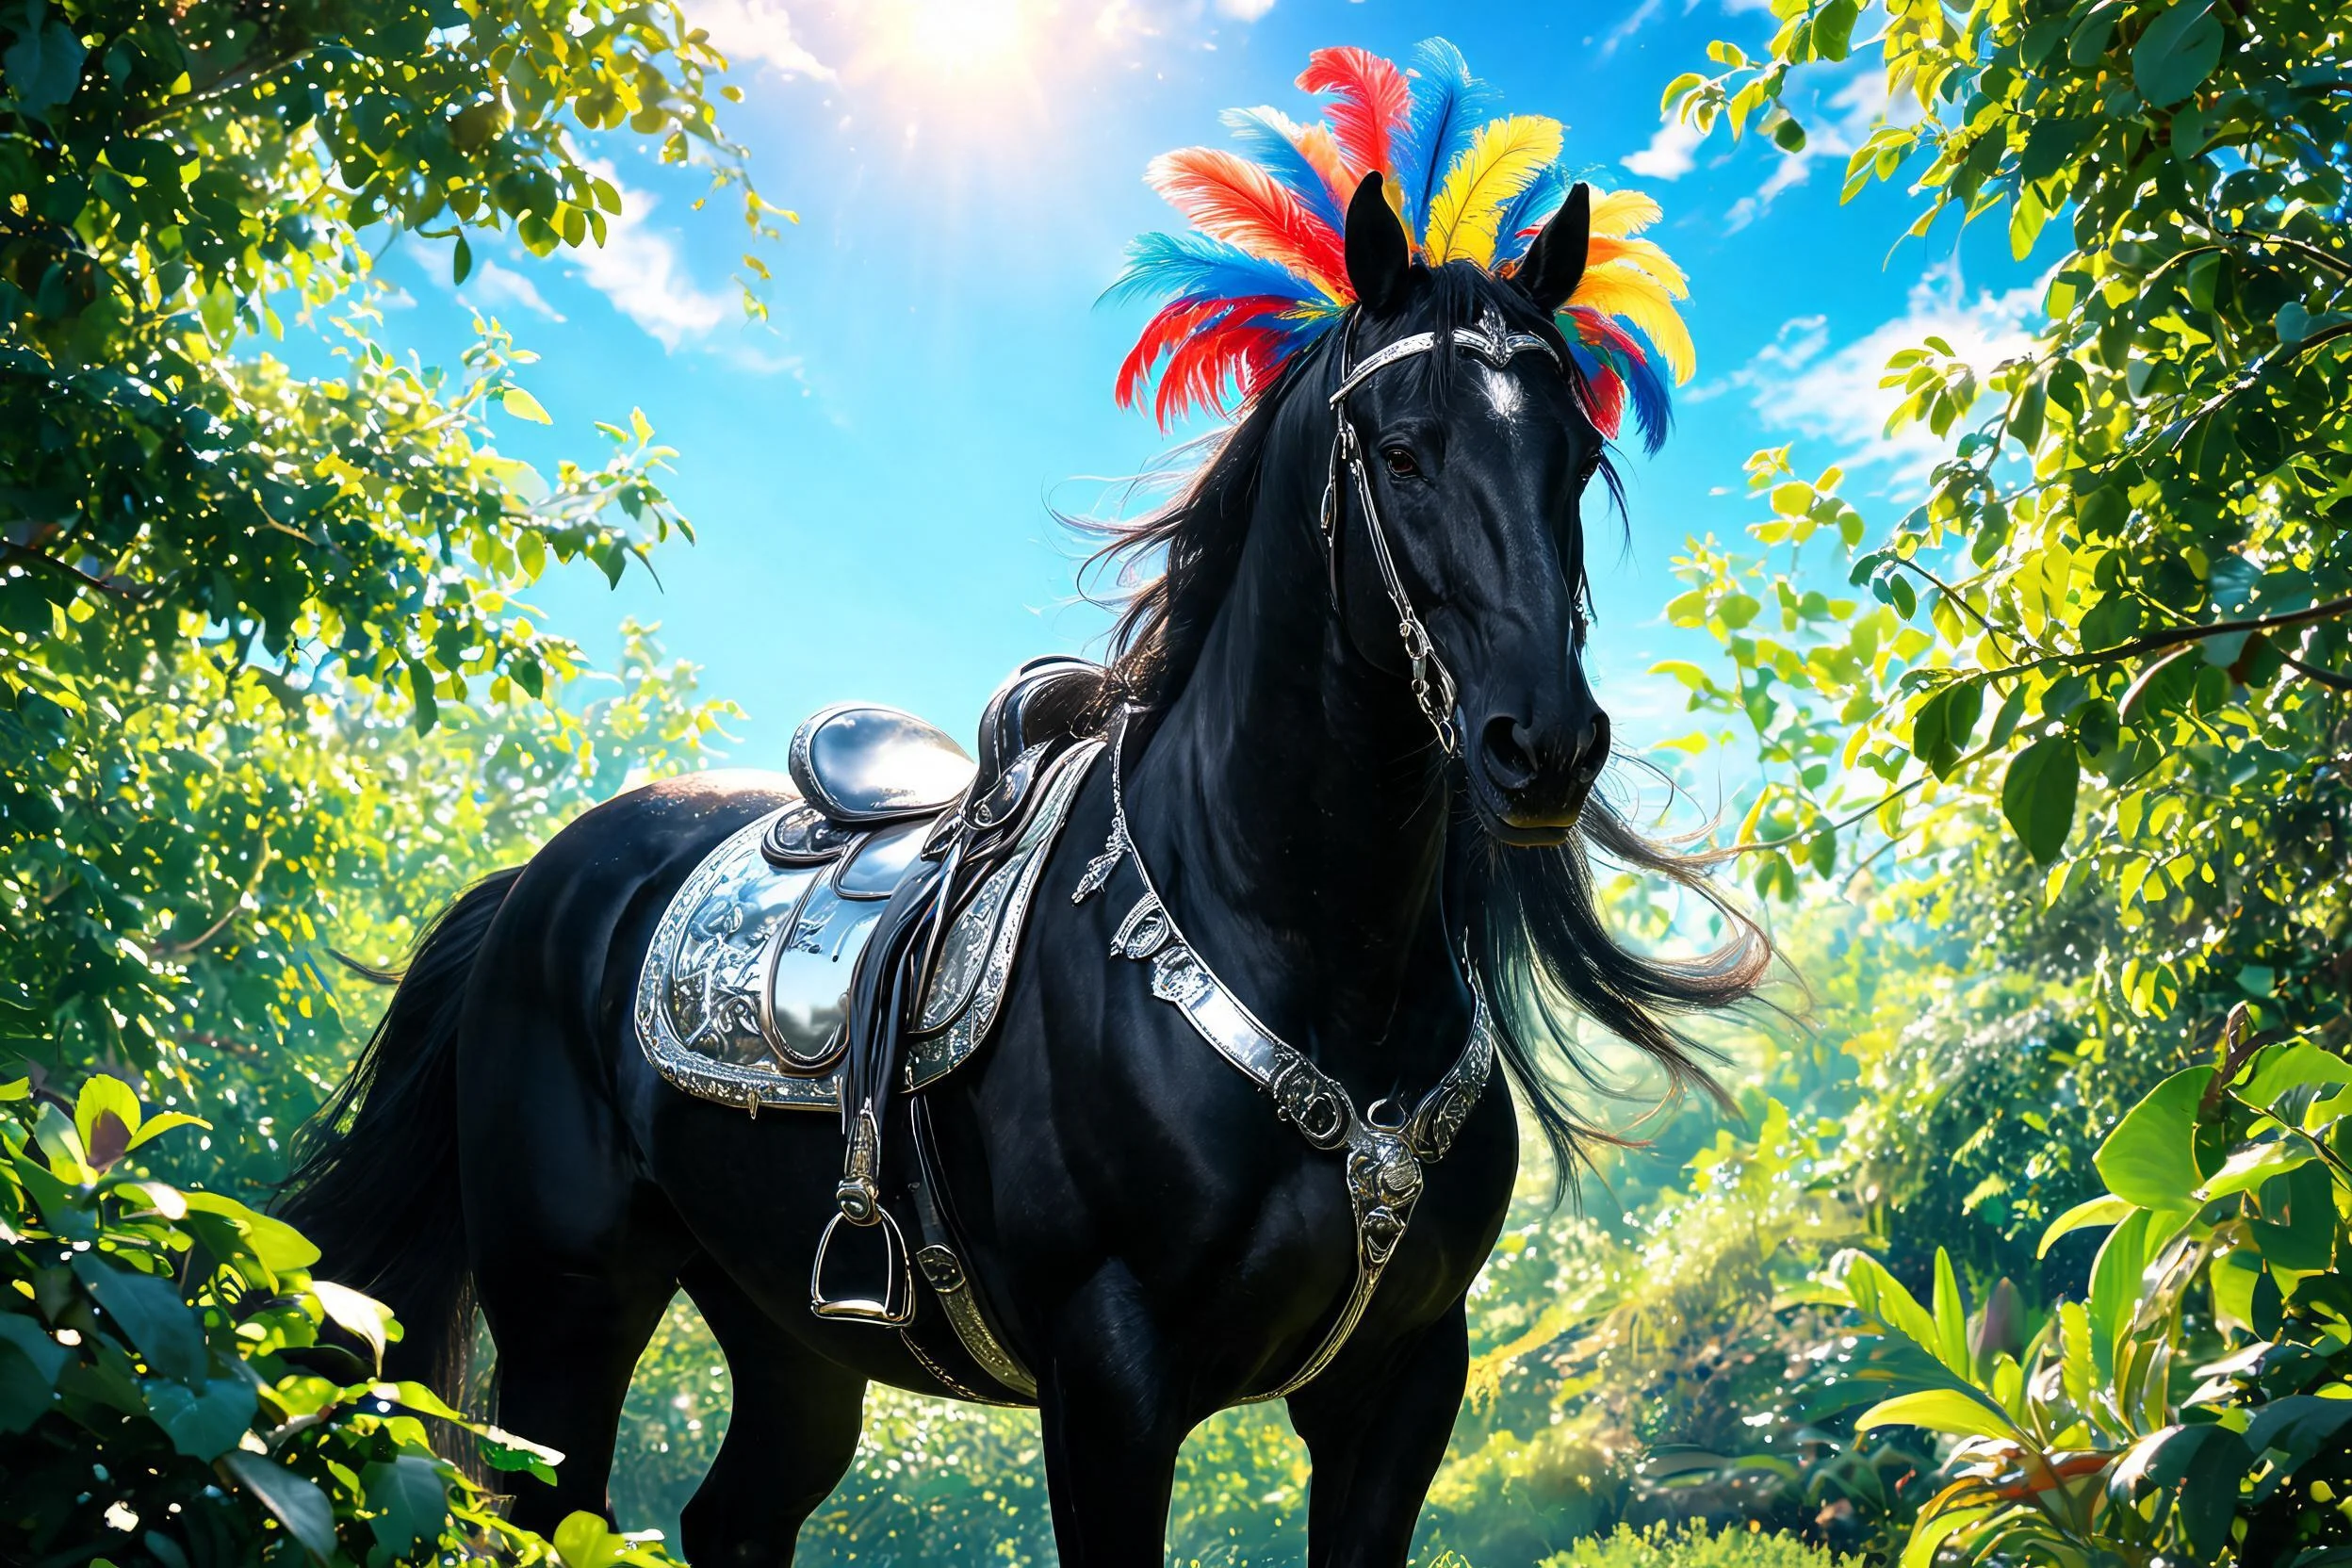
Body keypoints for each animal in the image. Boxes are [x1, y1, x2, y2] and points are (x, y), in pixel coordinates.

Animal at [283, 177, 1766, 1568]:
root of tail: (537, 883)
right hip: (566, 1318)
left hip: (787, 1328)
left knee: (736, 1517)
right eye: (1403, 452)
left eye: (1576, 460)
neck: (1296, 941)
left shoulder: (1402, 1381)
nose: (1544, 745)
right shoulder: (1111, 1379)